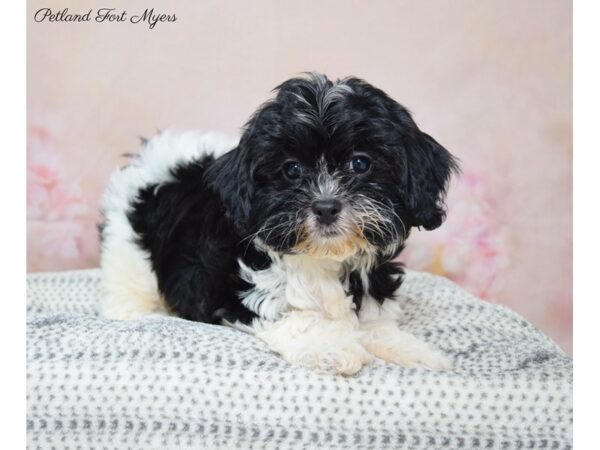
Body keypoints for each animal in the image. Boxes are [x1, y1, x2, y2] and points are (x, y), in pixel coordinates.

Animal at [101, 73, 460, 376]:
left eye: (360, 163)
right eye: (291, 170)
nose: (326, 207)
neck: (323, 260)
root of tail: (152, 154)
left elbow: (375, 324)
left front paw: (413, 350)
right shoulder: (234, 294)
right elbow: (294, 318)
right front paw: (330, 347)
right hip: (128, 247)